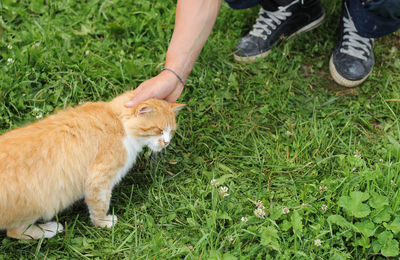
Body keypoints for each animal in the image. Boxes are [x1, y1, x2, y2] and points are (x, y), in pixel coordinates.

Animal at [0, 91, 184, 240]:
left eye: (171, 131)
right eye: (159, 130)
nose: (167, 142)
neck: (118, 121)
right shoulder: (99, 179)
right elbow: (100, 206)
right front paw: (104, 223)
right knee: (15, 232)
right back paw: (51, 229)